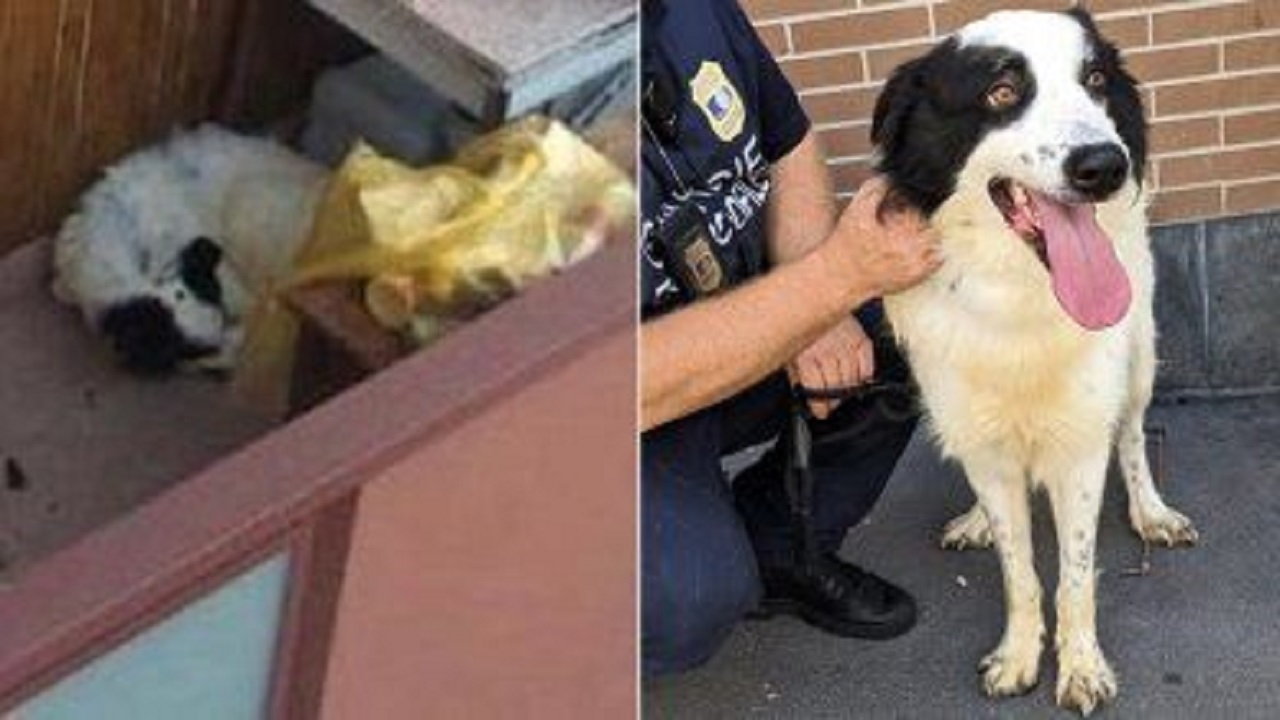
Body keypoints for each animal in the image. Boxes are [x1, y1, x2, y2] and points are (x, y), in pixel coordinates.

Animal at [875, 7, 1192, 712]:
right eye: (1001, 92)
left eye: (1095, 79)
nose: (1105, 165)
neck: (1018, 294)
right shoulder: (982, 439)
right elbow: (1017, 570)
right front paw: (1019, 655)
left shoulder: (1081, 446)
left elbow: (1074, 575)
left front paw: (1080, 668)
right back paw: (974, 521)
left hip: (1139, 361)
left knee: (1133, 437)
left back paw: (1150, 511)